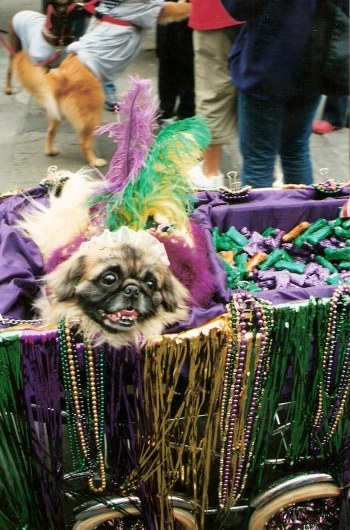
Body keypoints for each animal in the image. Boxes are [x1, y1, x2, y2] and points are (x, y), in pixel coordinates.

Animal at [5, 0, 191, 165]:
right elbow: (178, 8)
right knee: (84, 143)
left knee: (50, 131)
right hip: (92, 114)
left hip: (58, 114)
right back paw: (95, 161)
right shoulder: (155, 11)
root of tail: (62, 75)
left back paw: (50, 150)